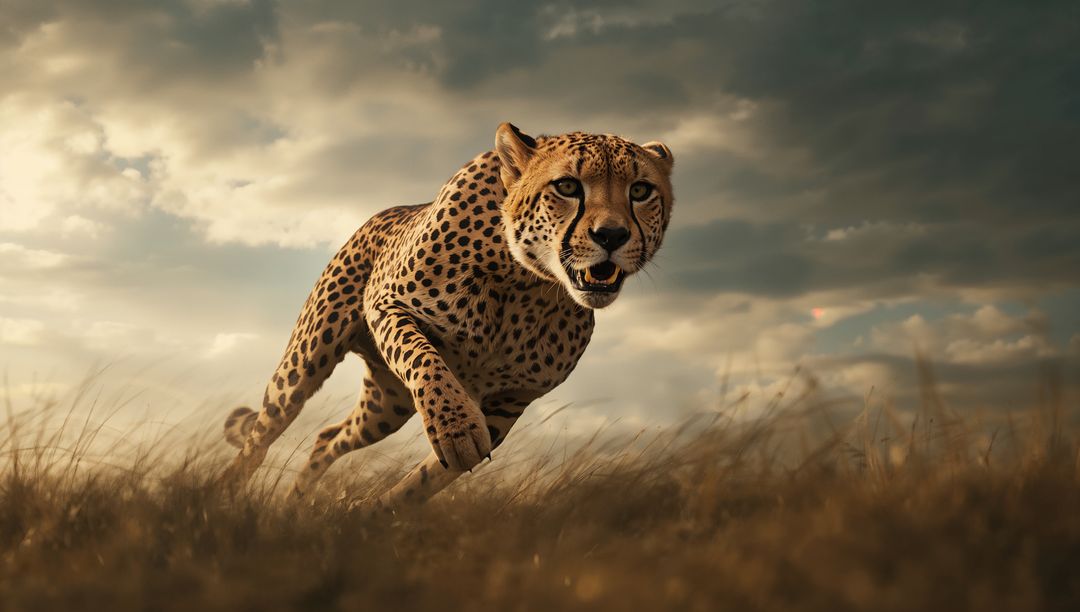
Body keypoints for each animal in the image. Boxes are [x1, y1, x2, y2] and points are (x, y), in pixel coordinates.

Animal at [220, 123, 674, 508]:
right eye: (566, 186)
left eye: (640, 190)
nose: (612, 235)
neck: (527, 282)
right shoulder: (388, 304)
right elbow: (423, 357)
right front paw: (455, 429)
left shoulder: (510, 403)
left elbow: (428, 480)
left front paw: (373, 511)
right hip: (305, 363)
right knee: (263, 433)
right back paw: (220, 495)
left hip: (386, 407)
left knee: (328, 437)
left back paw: (295, 503)